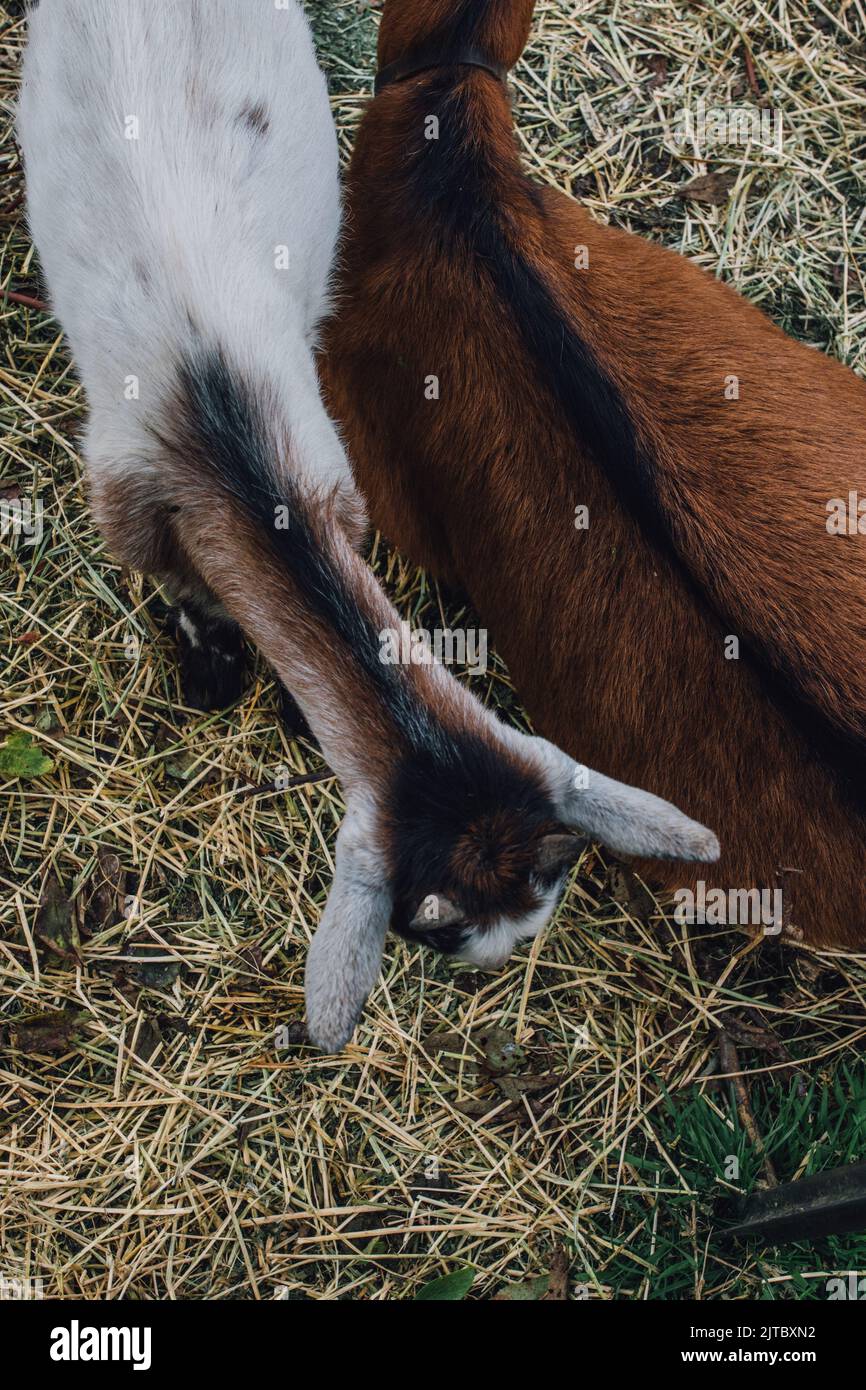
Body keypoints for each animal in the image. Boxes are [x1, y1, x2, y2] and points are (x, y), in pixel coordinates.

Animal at [17, 0, 717, 1051]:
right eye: (442, 939)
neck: (223, 441)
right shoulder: (127, 495)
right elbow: (181, 588)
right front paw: (212, 665)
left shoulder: (330, 480)